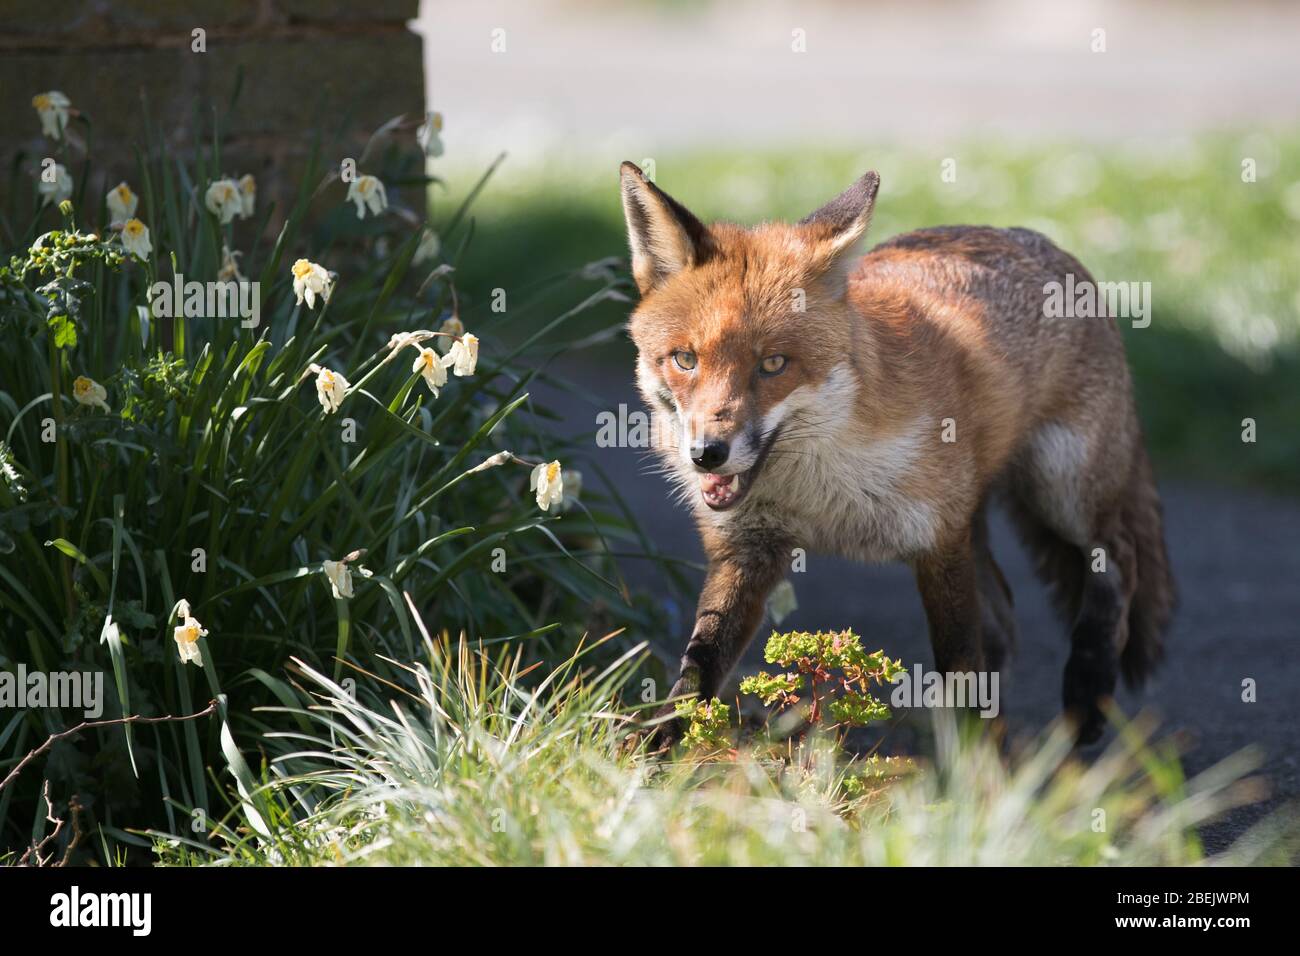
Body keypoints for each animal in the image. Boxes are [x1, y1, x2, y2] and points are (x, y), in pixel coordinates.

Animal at [618, 162, 1180, 749]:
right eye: (685, 359)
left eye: (773, 365)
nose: (707, 454)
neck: (821, 493)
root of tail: (1040, 241)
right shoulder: (749, 551)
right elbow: (698, 670)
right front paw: (654, 751)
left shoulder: (938, 543)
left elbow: (960, 667)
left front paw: (972, 768)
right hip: (988, 516)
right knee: (1004, 616)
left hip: (1060, 490)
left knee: (1118, 560)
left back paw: (1087, 694)